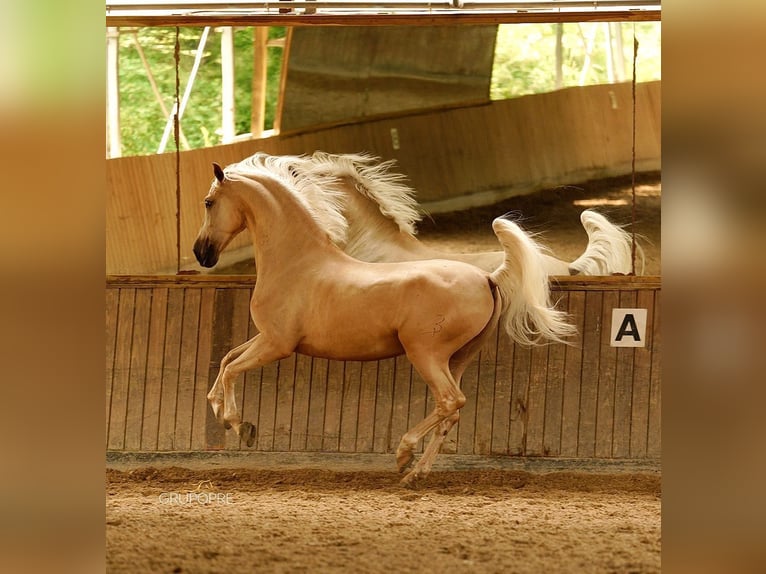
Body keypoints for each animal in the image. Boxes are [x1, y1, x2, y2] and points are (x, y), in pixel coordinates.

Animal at [193, 159, 575, 486]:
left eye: (209, 202)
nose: (201, 253)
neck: (297, 262)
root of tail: (488, 279)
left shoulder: (277, 344)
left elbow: (232, 368)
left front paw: (237, 424)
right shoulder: (266, 337)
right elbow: (226, 359)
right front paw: (221, 411)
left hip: (426, 353)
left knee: (450, 401)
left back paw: (404, 455)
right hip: (458, 358)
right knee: (451, 412)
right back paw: (415, 475)